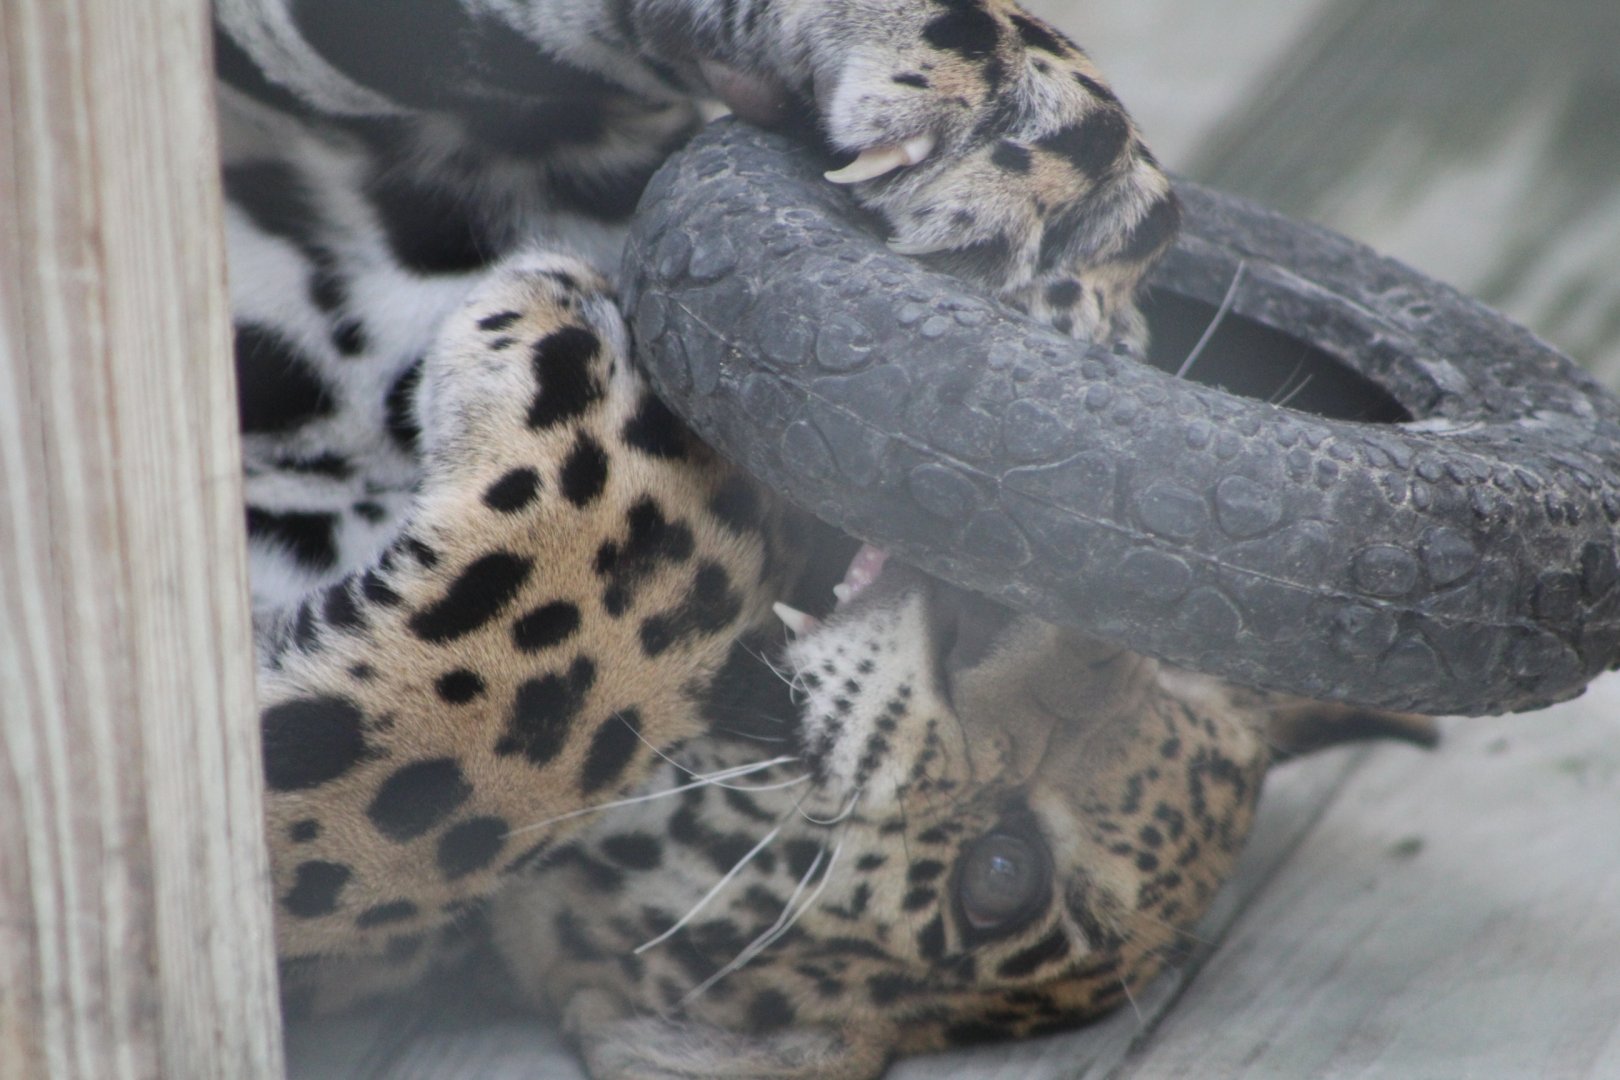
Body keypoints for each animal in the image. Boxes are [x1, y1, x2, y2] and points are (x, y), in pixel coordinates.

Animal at [218, 2, 1433, 1076]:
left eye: (1003, 879)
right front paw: (1022, 127)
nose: (992, 609)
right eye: (1147, 638)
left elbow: (463, 762)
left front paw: (592, 384)